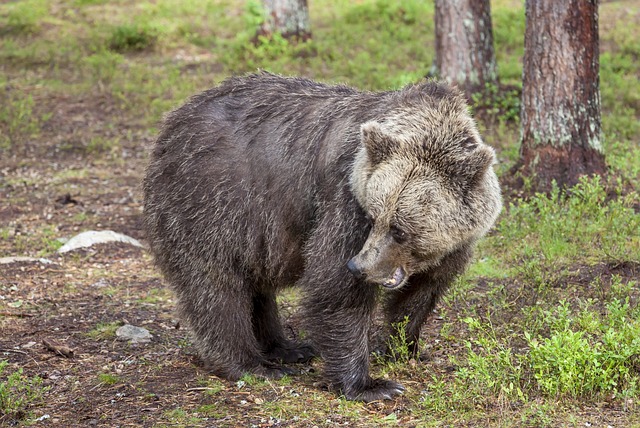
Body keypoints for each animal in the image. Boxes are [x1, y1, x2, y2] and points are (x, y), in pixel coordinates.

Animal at [142, 72, 502, 402]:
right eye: (373, 216)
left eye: (399, 229)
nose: (359, 266)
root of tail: (171, 123)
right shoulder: (342, 199)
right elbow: (334, 287)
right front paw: (371, 385)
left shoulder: (457, 242)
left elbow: (421, 292)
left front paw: (401, 347)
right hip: (211, 203)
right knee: (216, 287)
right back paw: (253, 364)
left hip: (248, 229)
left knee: (254, 286)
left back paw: (288, 348)